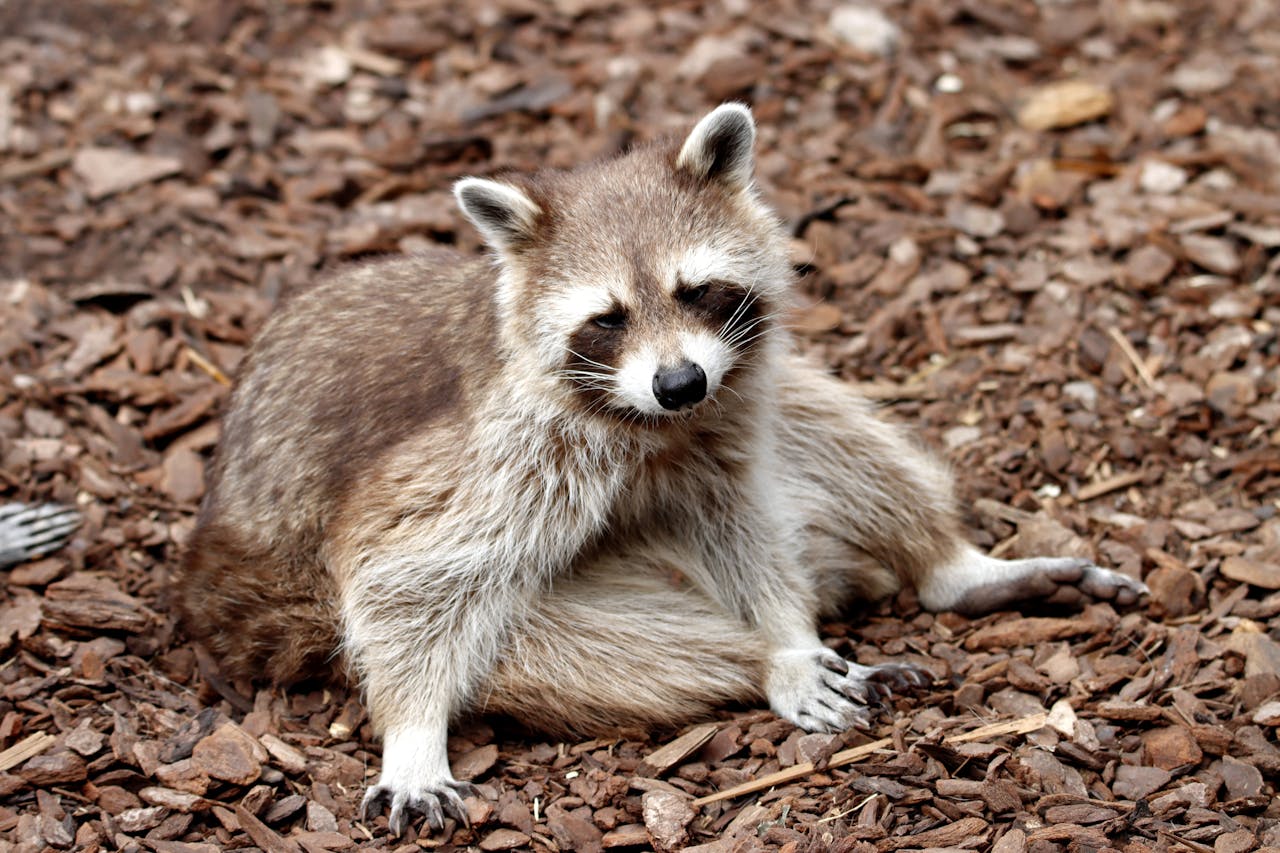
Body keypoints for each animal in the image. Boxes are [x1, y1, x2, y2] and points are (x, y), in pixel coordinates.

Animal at [177, 104, 1146, 834]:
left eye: (695, 291)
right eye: (606, 318)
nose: (679, 382)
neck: (645, 421)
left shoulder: (716, 422)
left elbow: (743, 517)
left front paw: (789, 634)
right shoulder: (491, 450)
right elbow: (404, 573)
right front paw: (412, 733)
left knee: (826, 429)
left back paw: (949, 568)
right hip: (304, 605)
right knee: (584, 648)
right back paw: (750, 660)